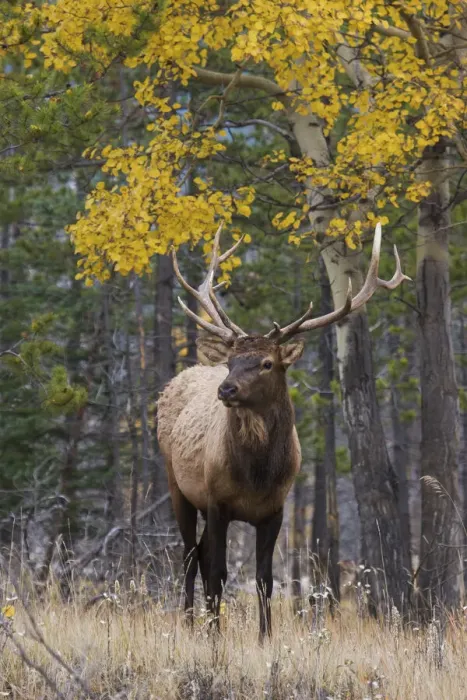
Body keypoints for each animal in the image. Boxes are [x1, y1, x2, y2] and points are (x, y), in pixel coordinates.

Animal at [157, 222, 409, 642]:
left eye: (267, 363)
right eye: (231, 361)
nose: (226, 389)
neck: (256, 476)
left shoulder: (275, 509)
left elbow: (264, 579)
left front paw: (265, 637)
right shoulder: (217, 500)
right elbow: (218, 572)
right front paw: (215, 635)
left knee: (201, 556)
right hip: (178, 486)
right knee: (191, 558)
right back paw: (192, 623)